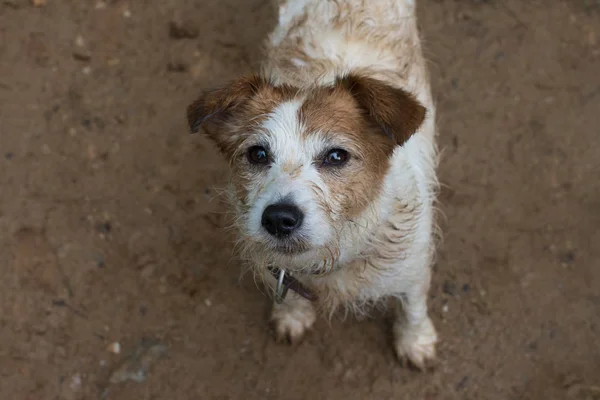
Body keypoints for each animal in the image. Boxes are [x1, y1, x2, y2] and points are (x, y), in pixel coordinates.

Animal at [188, 0, 440, 368]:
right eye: (258, 153)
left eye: (336, 156)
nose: (279, 218)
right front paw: (292, 315)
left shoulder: (413, 265)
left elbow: (412, 305)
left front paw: (415, 341)